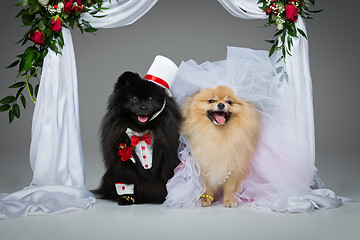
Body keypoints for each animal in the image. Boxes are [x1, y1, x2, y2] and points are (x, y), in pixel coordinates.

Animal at [95, 71, 181, 204]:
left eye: (151, 99)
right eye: (134, 98)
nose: (143, 107)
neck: (141, 131)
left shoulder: (166, 155)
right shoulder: (122, 162)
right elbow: (126, 182)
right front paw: (127, 198)